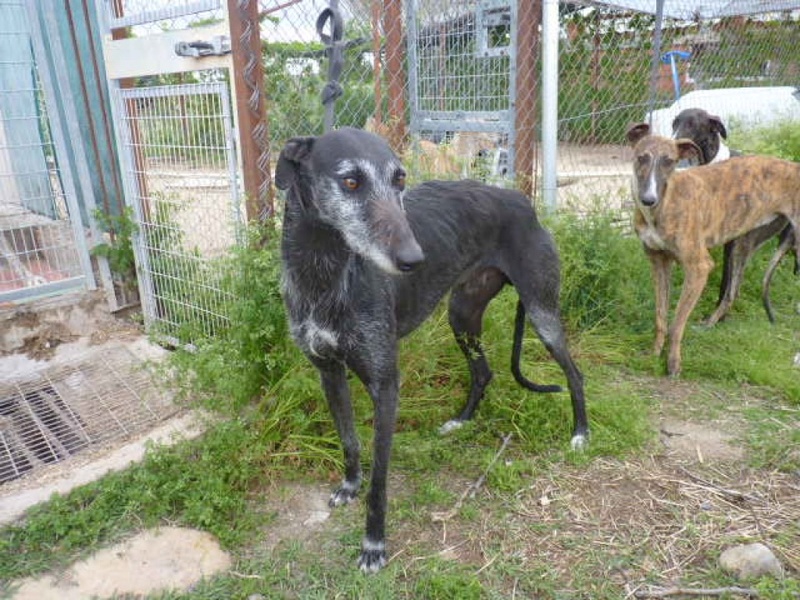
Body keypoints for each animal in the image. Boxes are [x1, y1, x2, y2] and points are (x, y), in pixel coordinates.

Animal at [276, 127, 588, 572]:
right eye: (350, 181)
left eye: (400, 179)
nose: (414, 259)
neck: (324, 271)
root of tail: (521, 201)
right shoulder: (329, 372)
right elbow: (349, 441)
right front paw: (350, 485)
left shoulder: (385, 385)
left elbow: (380, 480)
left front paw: (374, 545)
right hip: (462, 315)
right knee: (483, 371)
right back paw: (460, 421)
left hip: (542, 313)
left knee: (574, 373)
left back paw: (580, 433)